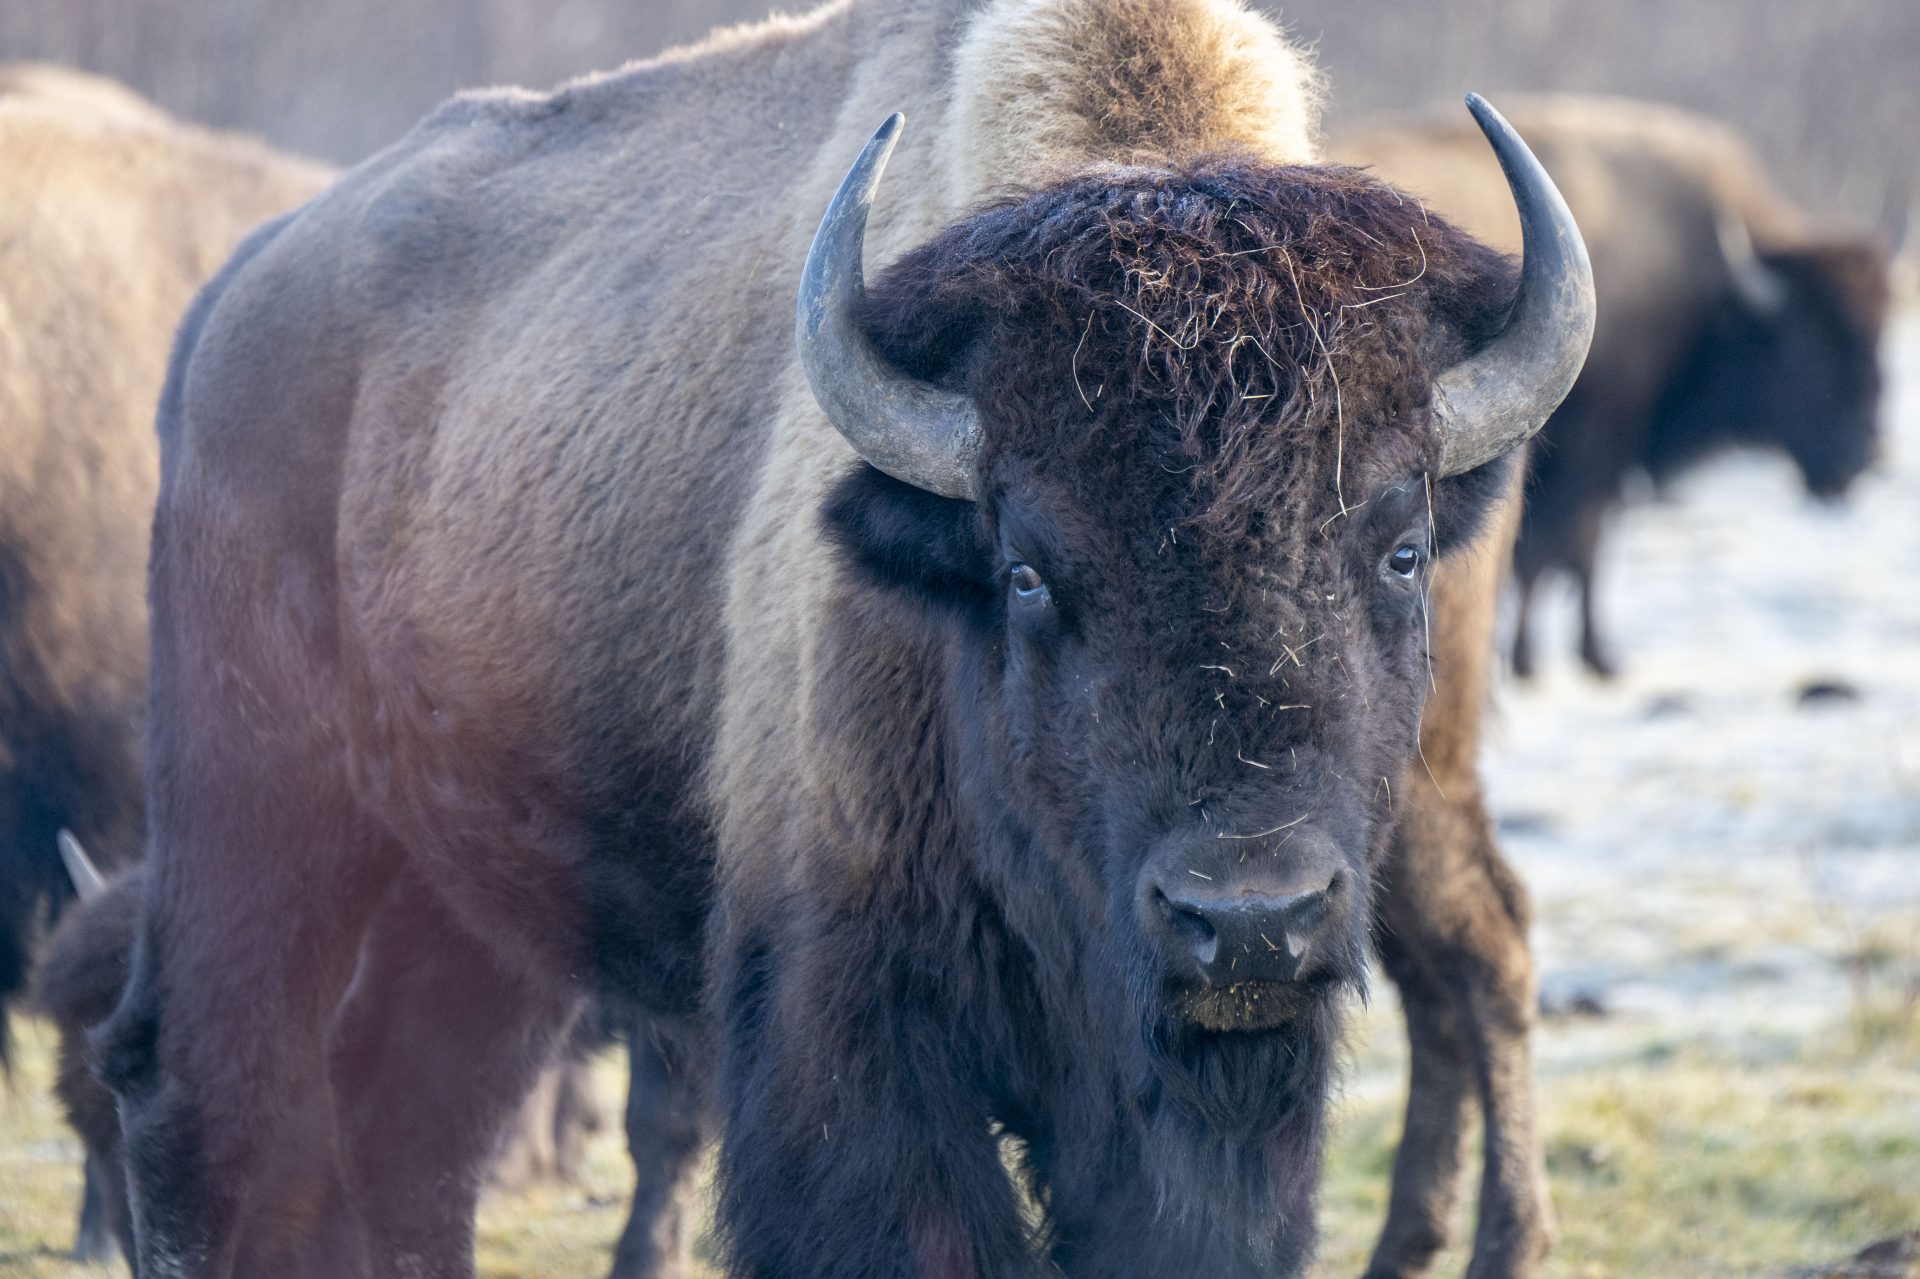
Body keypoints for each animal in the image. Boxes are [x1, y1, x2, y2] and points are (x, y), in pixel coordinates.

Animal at [105, 2, 1597, 1275]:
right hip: (257, 823)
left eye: (1399, 547)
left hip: (472, 896)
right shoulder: (857, 1043)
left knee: (405, 1123)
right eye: (1026, 569)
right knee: (220, 1111)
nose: (1248, 919)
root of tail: (234, 303)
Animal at [1336, 96, 1889, 675]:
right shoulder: (1592, 456)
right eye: (1807, 344)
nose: (1865, 454)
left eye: (1878, 331)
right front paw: (1576, 658)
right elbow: (1571, 552)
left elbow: (1571, 555)